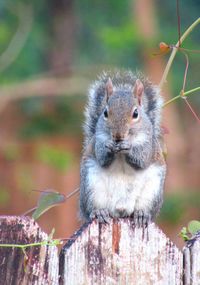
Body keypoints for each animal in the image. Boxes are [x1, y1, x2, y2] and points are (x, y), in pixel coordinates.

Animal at [79, 69, 166, 224]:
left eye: (136, 113)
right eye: (105, 113)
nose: (118, 136)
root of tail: (121, 210)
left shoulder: (148, 144)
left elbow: (142, 160)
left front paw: (128, 147)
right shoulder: (98, 140)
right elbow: (101, 157)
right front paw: (109, 146)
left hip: (152, 191)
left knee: (144, 208)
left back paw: (141, 214)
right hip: (91, 186)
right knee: (92, 209)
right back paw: (100, 213)